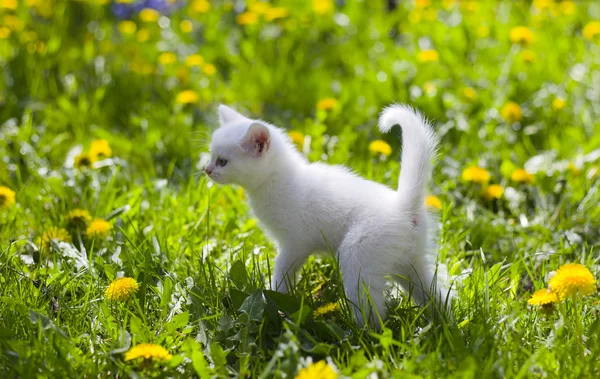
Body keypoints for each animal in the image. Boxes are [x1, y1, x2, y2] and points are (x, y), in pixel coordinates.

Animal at [206, 104, 450, 326]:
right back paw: (444, 324)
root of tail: (404, 206)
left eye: (222, 161)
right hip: (411, 265)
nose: (206, 170)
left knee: (373, 309)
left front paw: (273, 296)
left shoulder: (295, 243)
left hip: (357, 256)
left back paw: (363, 333)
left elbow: (282, 270)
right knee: (437, 295)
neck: (279, 181)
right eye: (210, 156)